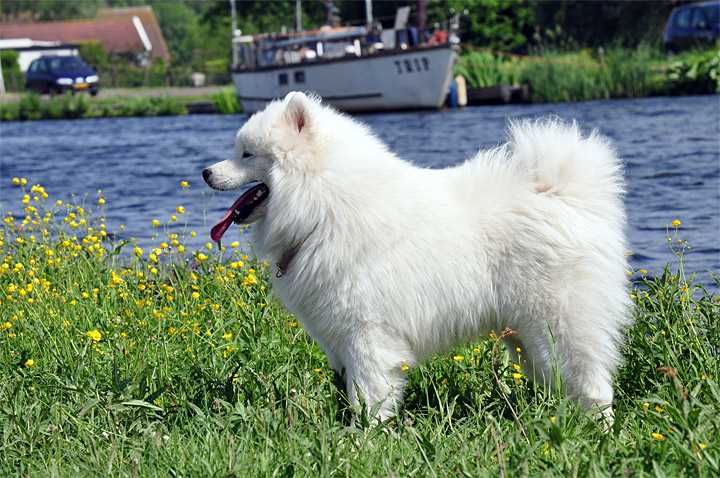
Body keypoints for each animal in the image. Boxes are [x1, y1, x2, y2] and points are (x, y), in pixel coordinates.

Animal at [201, 90, 632, 426]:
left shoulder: (368, 332)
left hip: (559, 324)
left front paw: (362, 438)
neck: (326, 205)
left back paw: (599, 432)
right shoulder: (338, 338)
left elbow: (369, 393)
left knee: (594, 384)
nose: (205, 172)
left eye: (246, 154)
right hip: (527, 338)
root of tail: (563, 191)